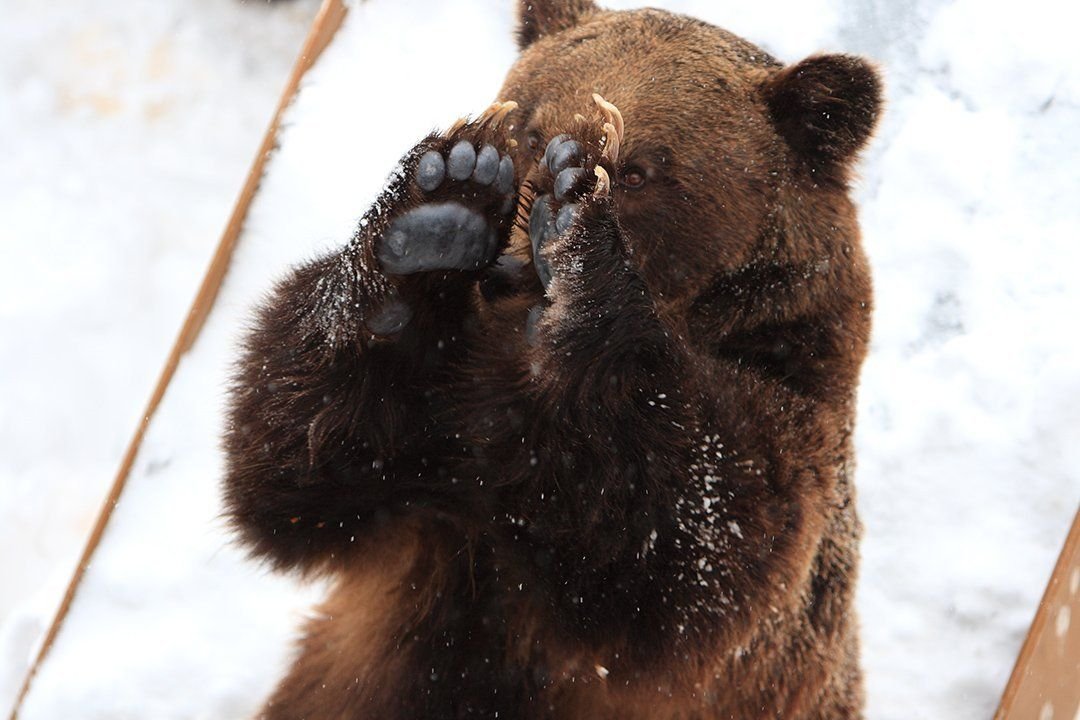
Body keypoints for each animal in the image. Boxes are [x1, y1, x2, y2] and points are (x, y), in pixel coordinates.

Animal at [219, 2, 876, 716]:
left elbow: (688, 554)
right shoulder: (429, 504)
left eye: (641, 170)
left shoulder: (791, 413)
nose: (510, 266)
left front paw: (578, 243)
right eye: (530, 130)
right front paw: (440, 205)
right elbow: (298, 475)